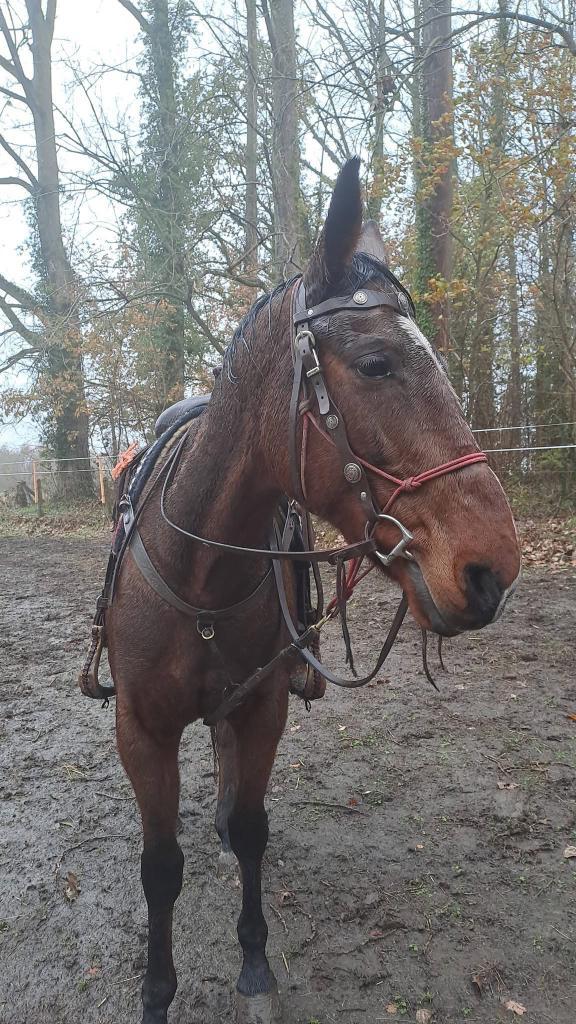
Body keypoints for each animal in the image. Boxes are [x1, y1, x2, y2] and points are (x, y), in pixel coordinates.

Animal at [101, 158, 521, 1024]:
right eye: (376, 364)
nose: (492, 567)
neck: (200, 572)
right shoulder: (141, 731)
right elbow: (160, 867)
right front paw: (158, 990)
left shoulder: (263, 707)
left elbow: (254, 826)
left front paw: (255, 961)